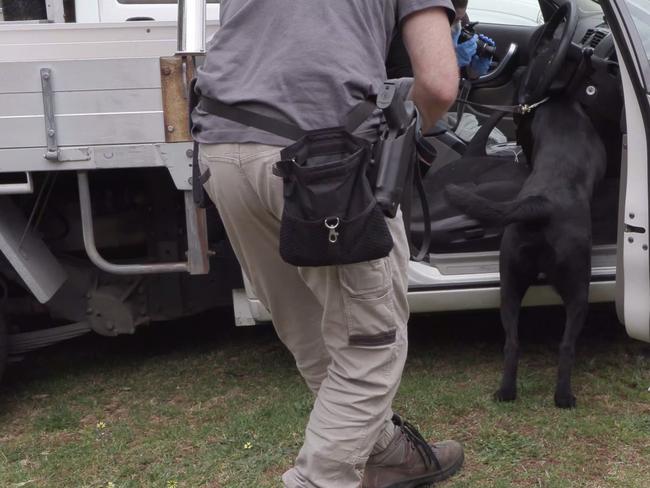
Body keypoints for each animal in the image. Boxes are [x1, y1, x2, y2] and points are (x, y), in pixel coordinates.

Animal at [446, 100, 604, 408]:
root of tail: (541, 204)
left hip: (509, 280)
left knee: (512, 342)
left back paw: (506, 392)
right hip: (579, 285)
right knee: (566, 345)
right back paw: (564, 398)